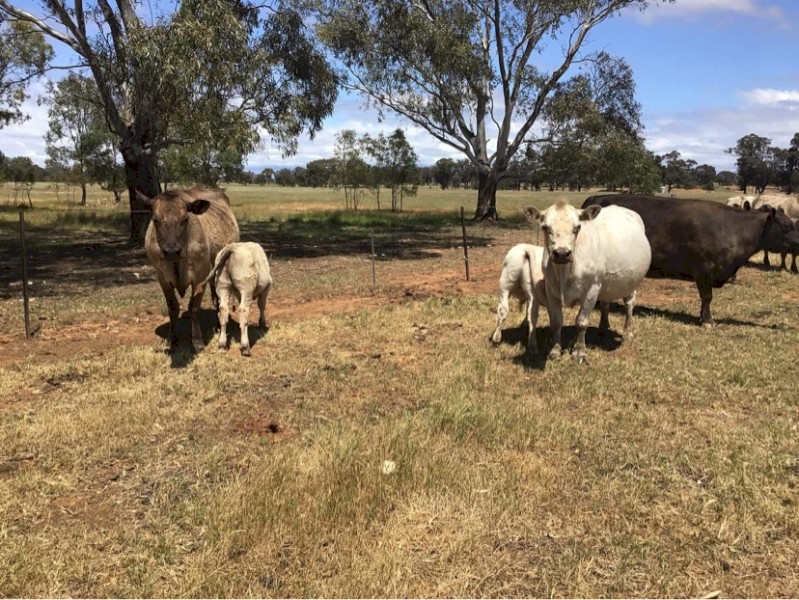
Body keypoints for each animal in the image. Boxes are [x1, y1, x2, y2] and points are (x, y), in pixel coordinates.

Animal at [140, 185, 240, 351]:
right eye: (155, 220)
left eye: (185, 219)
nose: (171, 251)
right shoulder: (162, 277)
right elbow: (172, 307)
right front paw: (172, 340)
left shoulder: (201, 276)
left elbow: (193, 308)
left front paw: (197, 341)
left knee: (219, 298)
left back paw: (220, 325)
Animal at [523, 201, 651, 364]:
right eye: (545, 227)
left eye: (577, 227)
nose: (562, 253)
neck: (564, 273)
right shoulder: (551, 289)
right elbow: (556, 322)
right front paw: (555, 351)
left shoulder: (591, 289)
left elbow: (581, 322)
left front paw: (580, 352)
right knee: (605, 303)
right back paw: (602, 327)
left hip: (630, 282)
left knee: (629, 304)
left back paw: (627, 333)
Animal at [581, 194, 794, 326]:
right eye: (787, 226)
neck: (733, 229)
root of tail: (594, 198)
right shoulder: (704, 269)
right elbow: (707, 296)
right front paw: (708, 320)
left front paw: (702, 316)